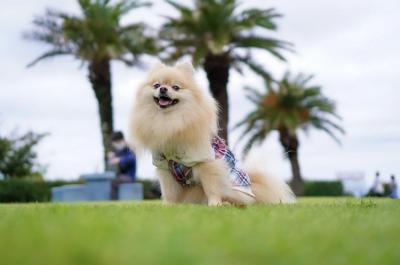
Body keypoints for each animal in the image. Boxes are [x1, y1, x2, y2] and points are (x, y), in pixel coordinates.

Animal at [130, 61, 296, 204]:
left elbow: (212, 188)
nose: (163, 89)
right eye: (156, 85)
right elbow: (169, 192)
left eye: (176, 87)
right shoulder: (164, 167)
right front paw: (168, 206)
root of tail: (253, 185)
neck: (168, 120)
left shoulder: (207, 162)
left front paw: (215, 204)